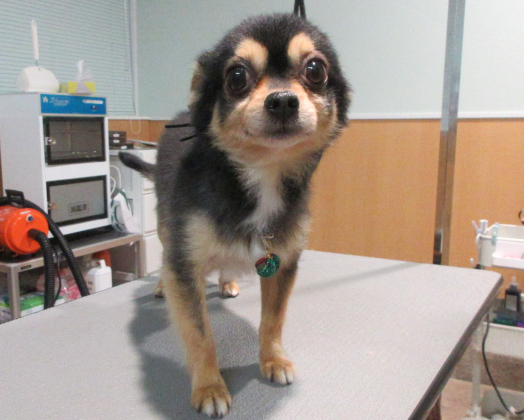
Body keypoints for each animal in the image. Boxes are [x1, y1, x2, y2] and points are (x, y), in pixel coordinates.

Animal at [120, 12, 350, 417]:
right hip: (166, 226)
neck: (260, 175)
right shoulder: (185, 261)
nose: (283, 101)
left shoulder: (283, 263)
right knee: (164, 256)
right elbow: (200, 335)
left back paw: (226, 281)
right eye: (237, 77)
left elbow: (272, 320)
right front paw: (209, 386)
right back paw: (162, 285)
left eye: (315, 70)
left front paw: (273, 360)